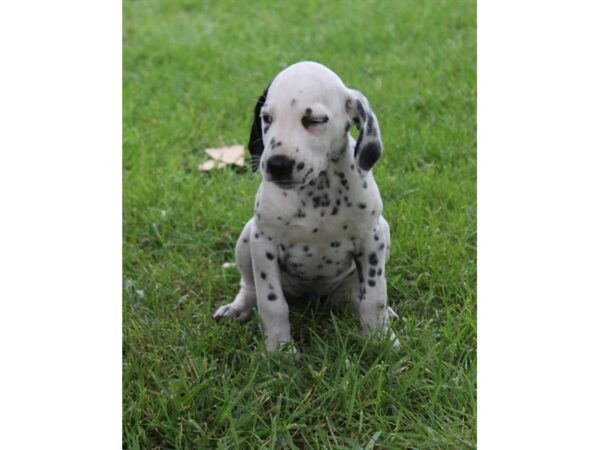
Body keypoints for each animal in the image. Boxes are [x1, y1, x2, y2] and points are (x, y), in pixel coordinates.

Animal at [213, 61, 400, 354]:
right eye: (267, 118)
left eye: (315, 120)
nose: (277, 164)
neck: (318, 193)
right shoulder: (264, 244)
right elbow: (272, 304)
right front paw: (279, 350)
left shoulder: (373, 239)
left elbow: (374, 296)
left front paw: (380, 339)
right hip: (247, 238)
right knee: (249, 287)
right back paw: (237, 308)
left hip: (384, 231)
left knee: (356, 295)